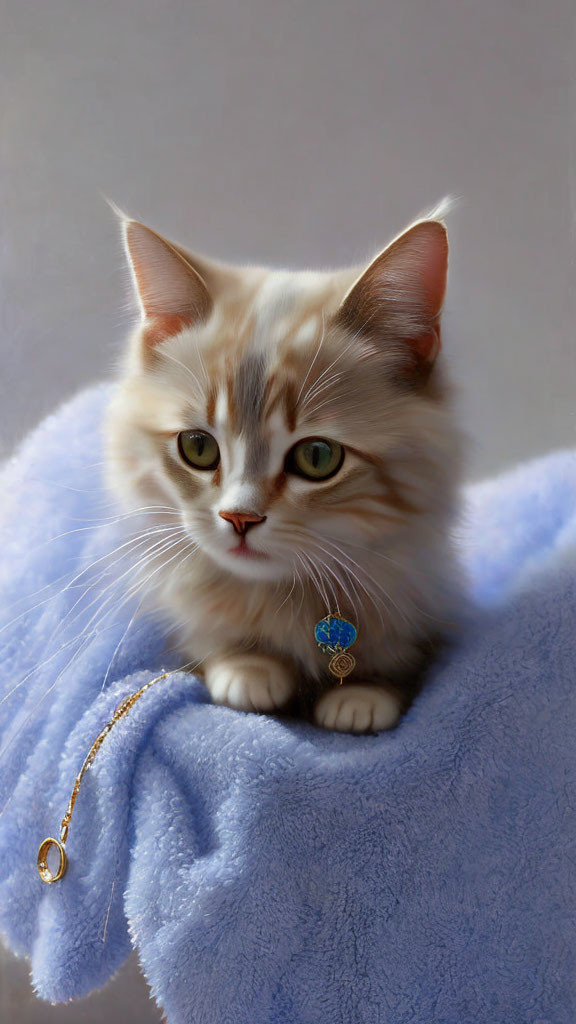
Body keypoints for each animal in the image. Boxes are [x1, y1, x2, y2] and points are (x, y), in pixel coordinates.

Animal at [104, 207, 461, 733]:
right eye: (198, 447)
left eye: (318, 457)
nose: (239, 519)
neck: (285, 595)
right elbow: (217, 644)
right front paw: (249, 669)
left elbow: (402, 663)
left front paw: (363, 694)